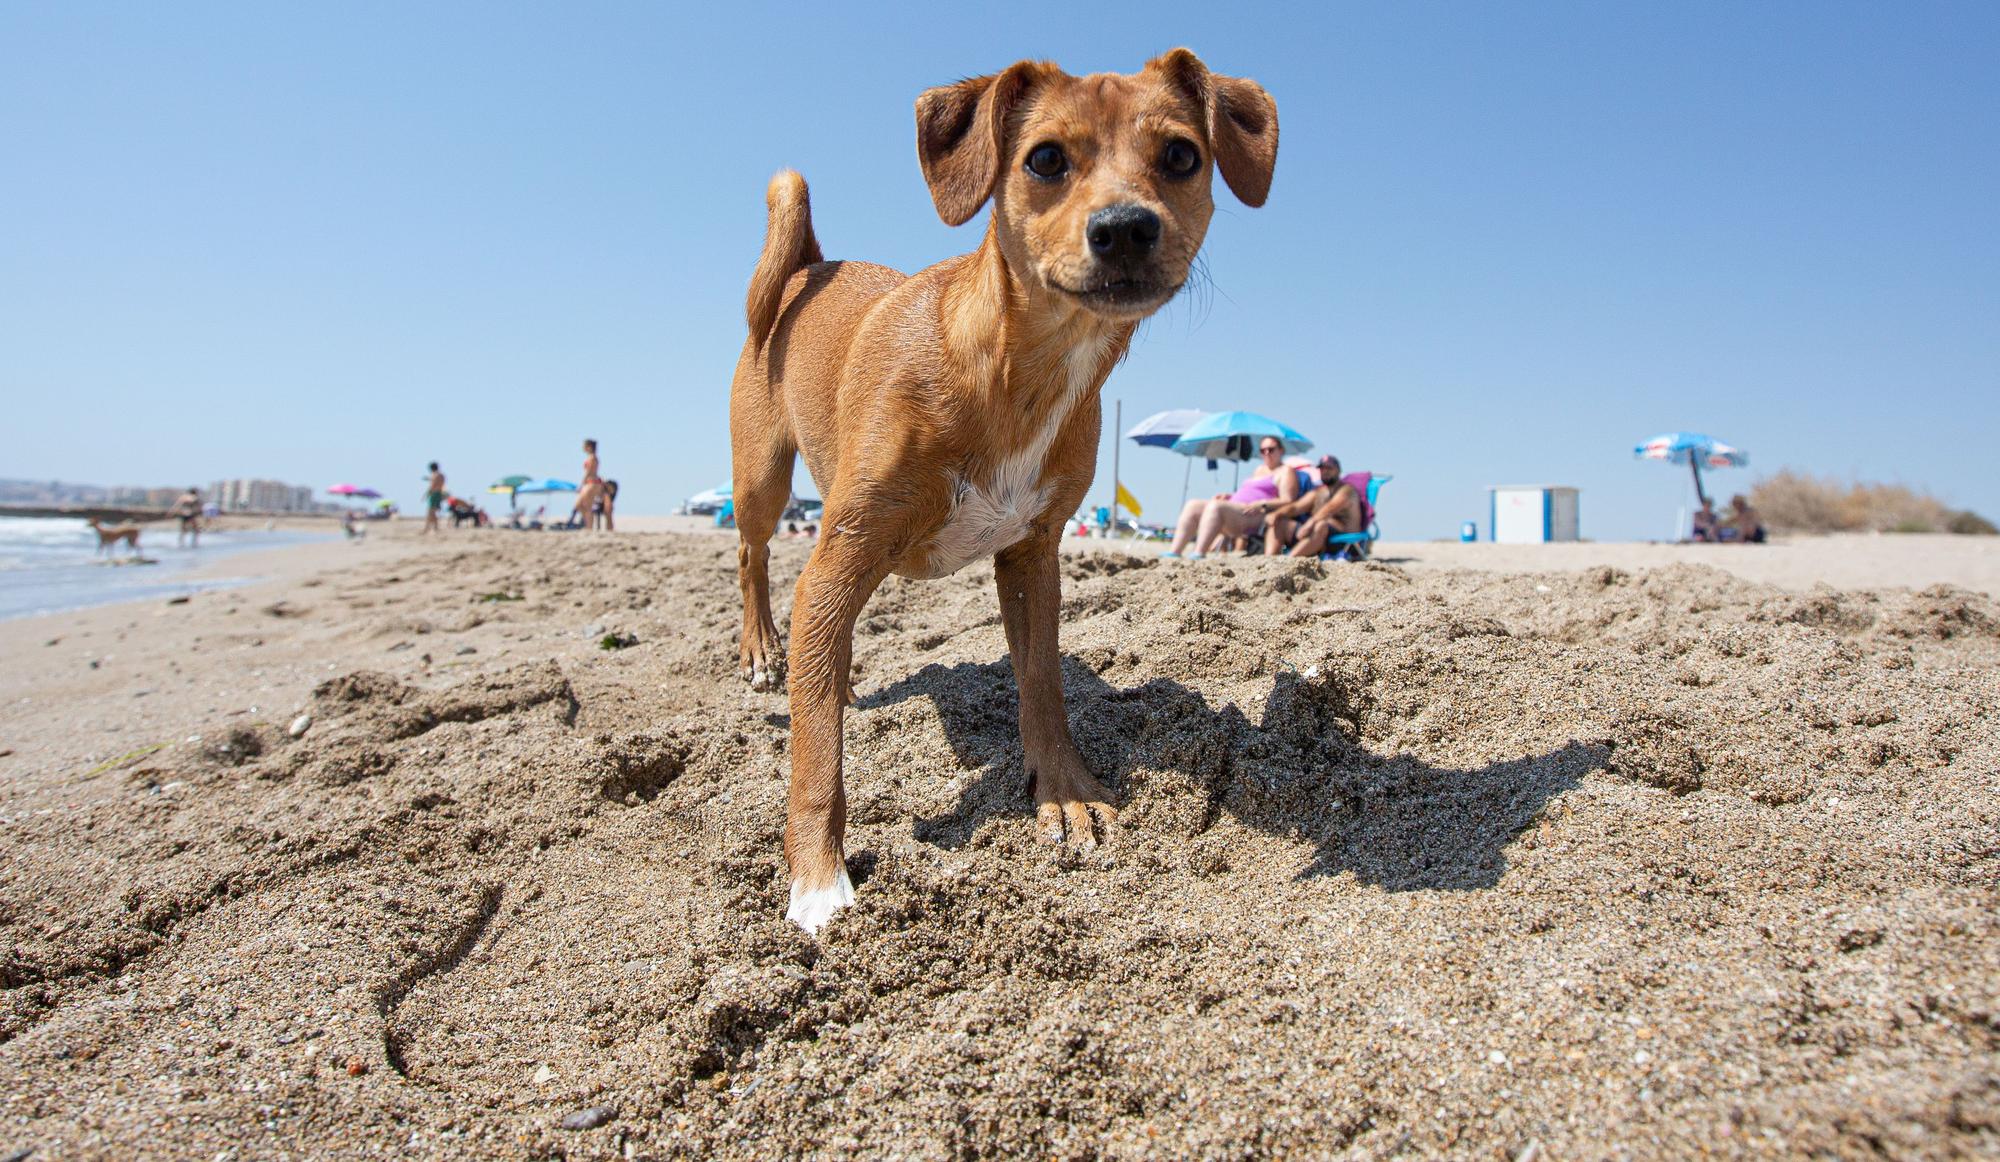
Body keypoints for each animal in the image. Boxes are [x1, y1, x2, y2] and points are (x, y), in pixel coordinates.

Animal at [728, 49, 1272, 932]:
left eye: (1182, 156)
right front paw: (817, 877)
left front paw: (1066, 794)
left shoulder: (1031, 559)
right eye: (1044, 159)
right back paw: (766, 653)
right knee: (753, 560)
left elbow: (1043, 686)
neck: (1023, 372)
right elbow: (817, 756)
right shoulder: (840, 556)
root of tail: (810, 263)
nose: (1126, 227)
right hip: (762, 481)